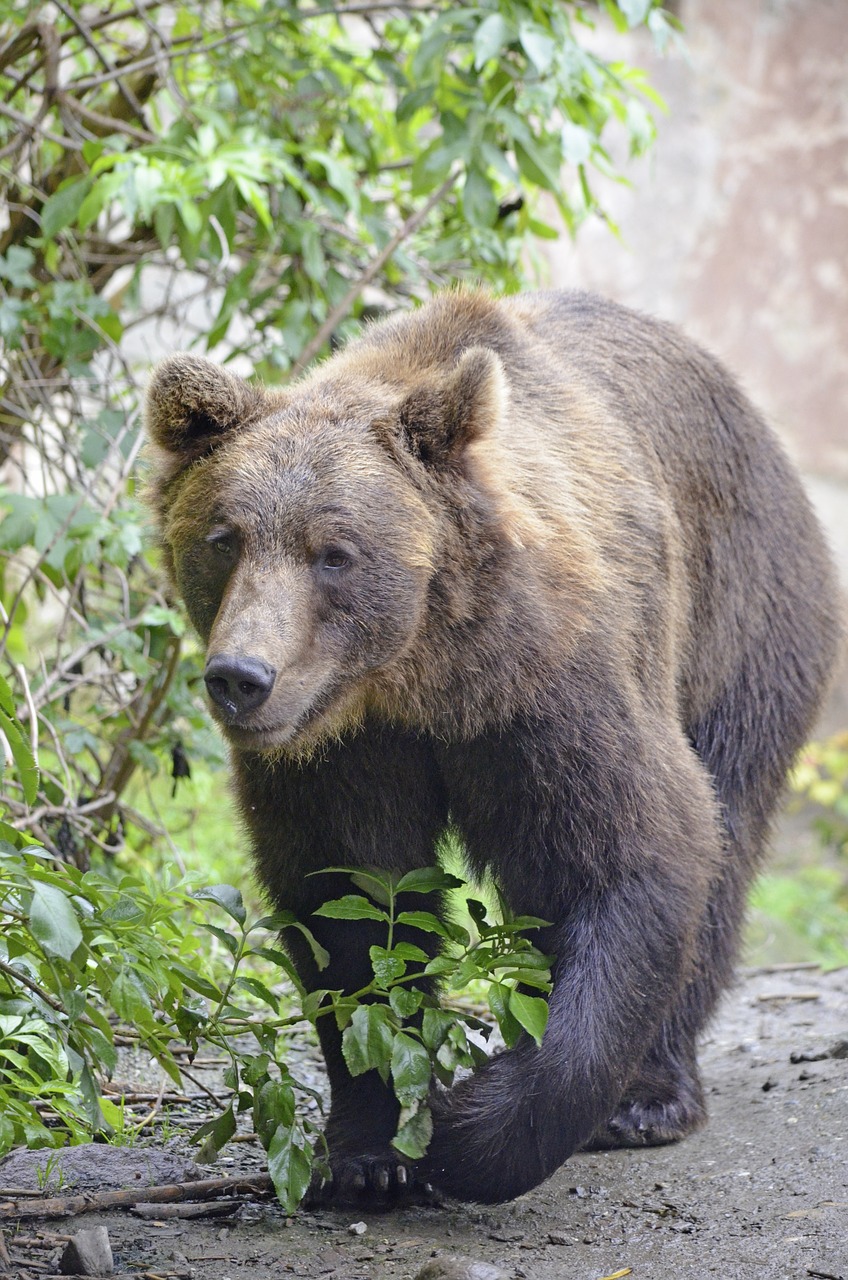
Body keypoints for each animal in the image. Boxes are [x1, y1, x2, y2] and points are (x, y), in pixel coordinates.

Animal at [146, 293, 845, 1208]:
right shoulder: (341, 751)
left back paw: (651, 1095)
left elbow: (628, 853)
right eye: (223, 537)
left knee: (725, 841)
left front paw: (469, 1126)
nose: (242, 678)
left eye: (334, 551)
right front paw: (371, 1148)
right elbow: (350, 901)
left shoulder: (552, 687)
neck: (420, 673)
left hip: (746, 621)